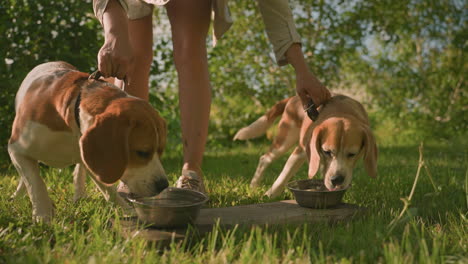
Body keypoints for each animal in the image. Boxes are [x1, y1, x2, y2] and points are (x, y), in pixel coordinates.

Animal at [8, 62, 168, 223]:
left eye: (160, 151)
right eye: (142, 152)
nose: (163, 185)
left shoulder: (91, 158)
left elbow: (106, 187)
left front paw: (126, 209)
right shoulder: (16, 148)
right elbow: (35, 183)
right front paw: (43, 215)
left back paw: (80, 196)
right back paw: (17, 197)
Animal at [233, 95, 376, 198]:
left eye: (352, 154)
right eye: (327, 151)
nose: (337, 180)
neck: (342, 112)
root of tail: (293, 97)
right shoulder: (300, 152)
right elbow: (283, 177)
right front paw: (269, 195)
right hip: (284, 141)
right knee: (265, 159)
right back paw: (254, 185)